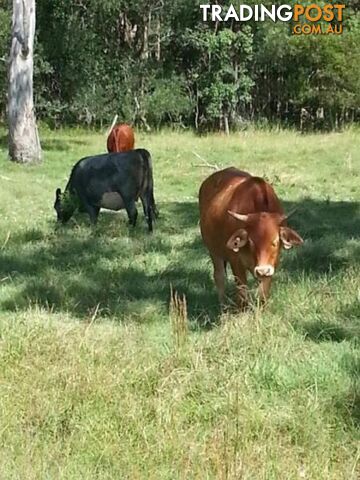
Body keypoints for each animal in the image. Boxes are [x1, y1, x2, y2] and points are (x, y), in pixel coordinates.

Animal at [200, 169, 304, 308]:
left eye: (275, 242)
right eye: (251, 242)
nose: (262, 270)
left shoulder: (272, 265)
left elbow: (263, 294)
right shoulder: (236, 263)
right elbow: (242, 294)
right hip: (214, 251)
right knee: (219, 277)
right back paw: (223, 306)